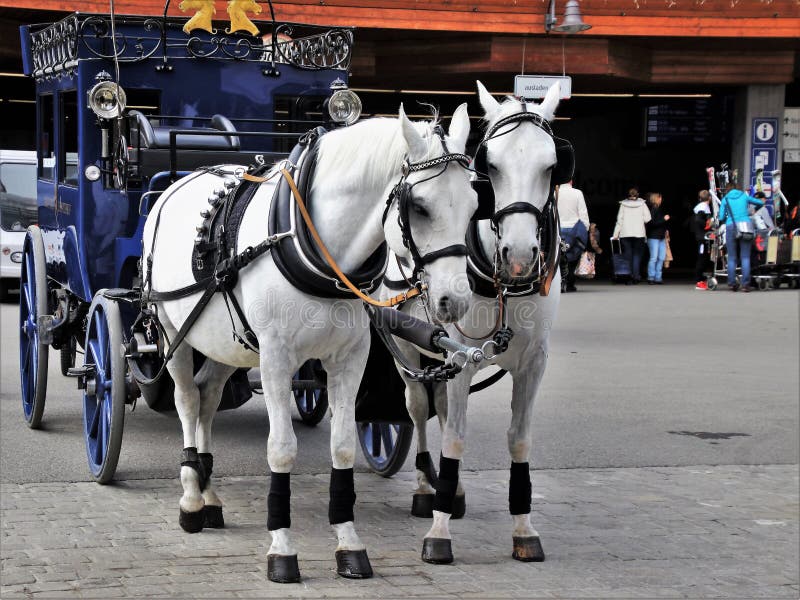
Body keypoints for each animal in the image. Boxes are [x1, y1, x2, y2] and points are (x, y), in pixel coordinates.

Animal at [141, 104, 477, 583]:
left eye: (473, 205)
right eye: (419, 206)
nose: (455, 302)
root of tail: (172, 187)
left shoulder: (349, 358)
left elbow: (342, 445)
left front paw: (349, 543)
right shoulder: (277, 358)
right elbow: (281, 450)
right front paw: (282, 548)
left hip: (227, 343)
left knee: (207, 398)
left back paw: (209, 495)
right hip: (175, 331)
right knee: (188, 401)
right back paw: (191, 498)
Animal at [381, 81, 566, 565]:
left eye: (552, 166)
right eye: (491, 166)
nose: (518, 256)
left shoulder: (534, 362)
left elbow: (519, 438)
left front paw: (523, 528)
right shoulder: (460, 357)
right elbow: (454, 439)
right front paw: (439, 532)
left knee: (442, 407)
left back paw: (454, 491)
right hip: (408, 350)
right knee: (419, 408)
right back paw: (427, 489)